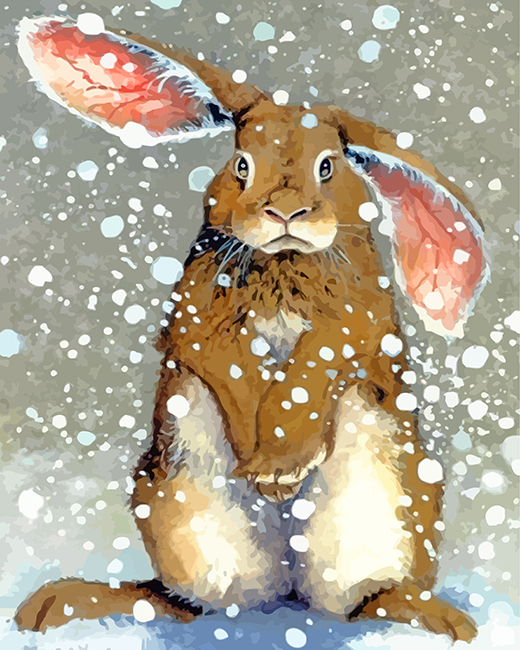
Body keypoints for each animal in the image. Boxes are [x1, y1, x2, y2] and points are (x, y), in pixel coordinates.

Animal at [14, 14, 489, 642]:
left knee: (364, 600)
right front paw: (261, 469)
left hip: (391, 515)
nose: (285, 213)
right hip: (179, 514)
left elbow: (311, 369)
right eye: (242, 165)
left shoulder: (357, 323)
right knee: (186, 604)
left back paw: (441, 619)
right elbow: (230, 367)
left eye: (327, 166)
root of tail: (286, 590)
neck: (283, 262)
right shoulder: (198, 319)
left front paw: (277, 470)